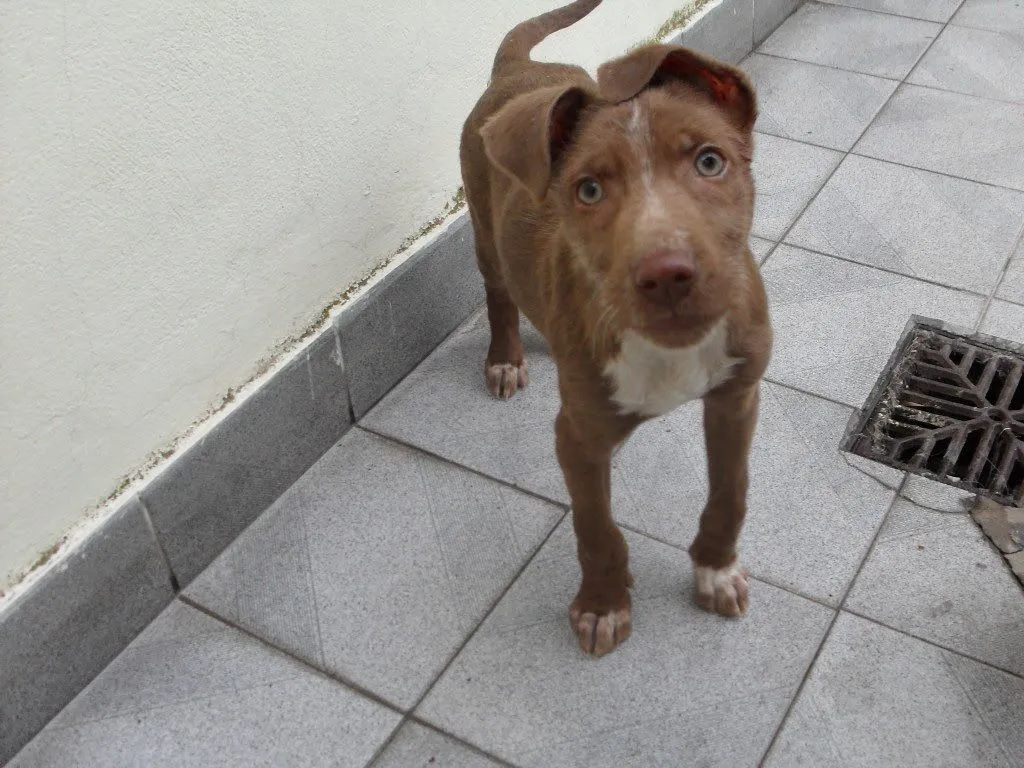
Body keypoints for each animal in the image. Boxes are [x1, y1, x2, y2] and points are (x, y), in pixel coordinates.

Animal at [460, 1, 770, 663]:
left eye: (710, 161)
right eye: (589, 189)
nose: (668, 275)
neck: (670, 354)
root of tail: (518, 67)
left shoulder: (736, 396)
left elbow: (730, 490)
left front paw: (716, 570)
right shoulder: (578, 437)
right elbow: (595, 526)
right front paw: (603, 605)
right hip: (482, 225)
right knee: (499, 292)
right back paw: (506, 357)